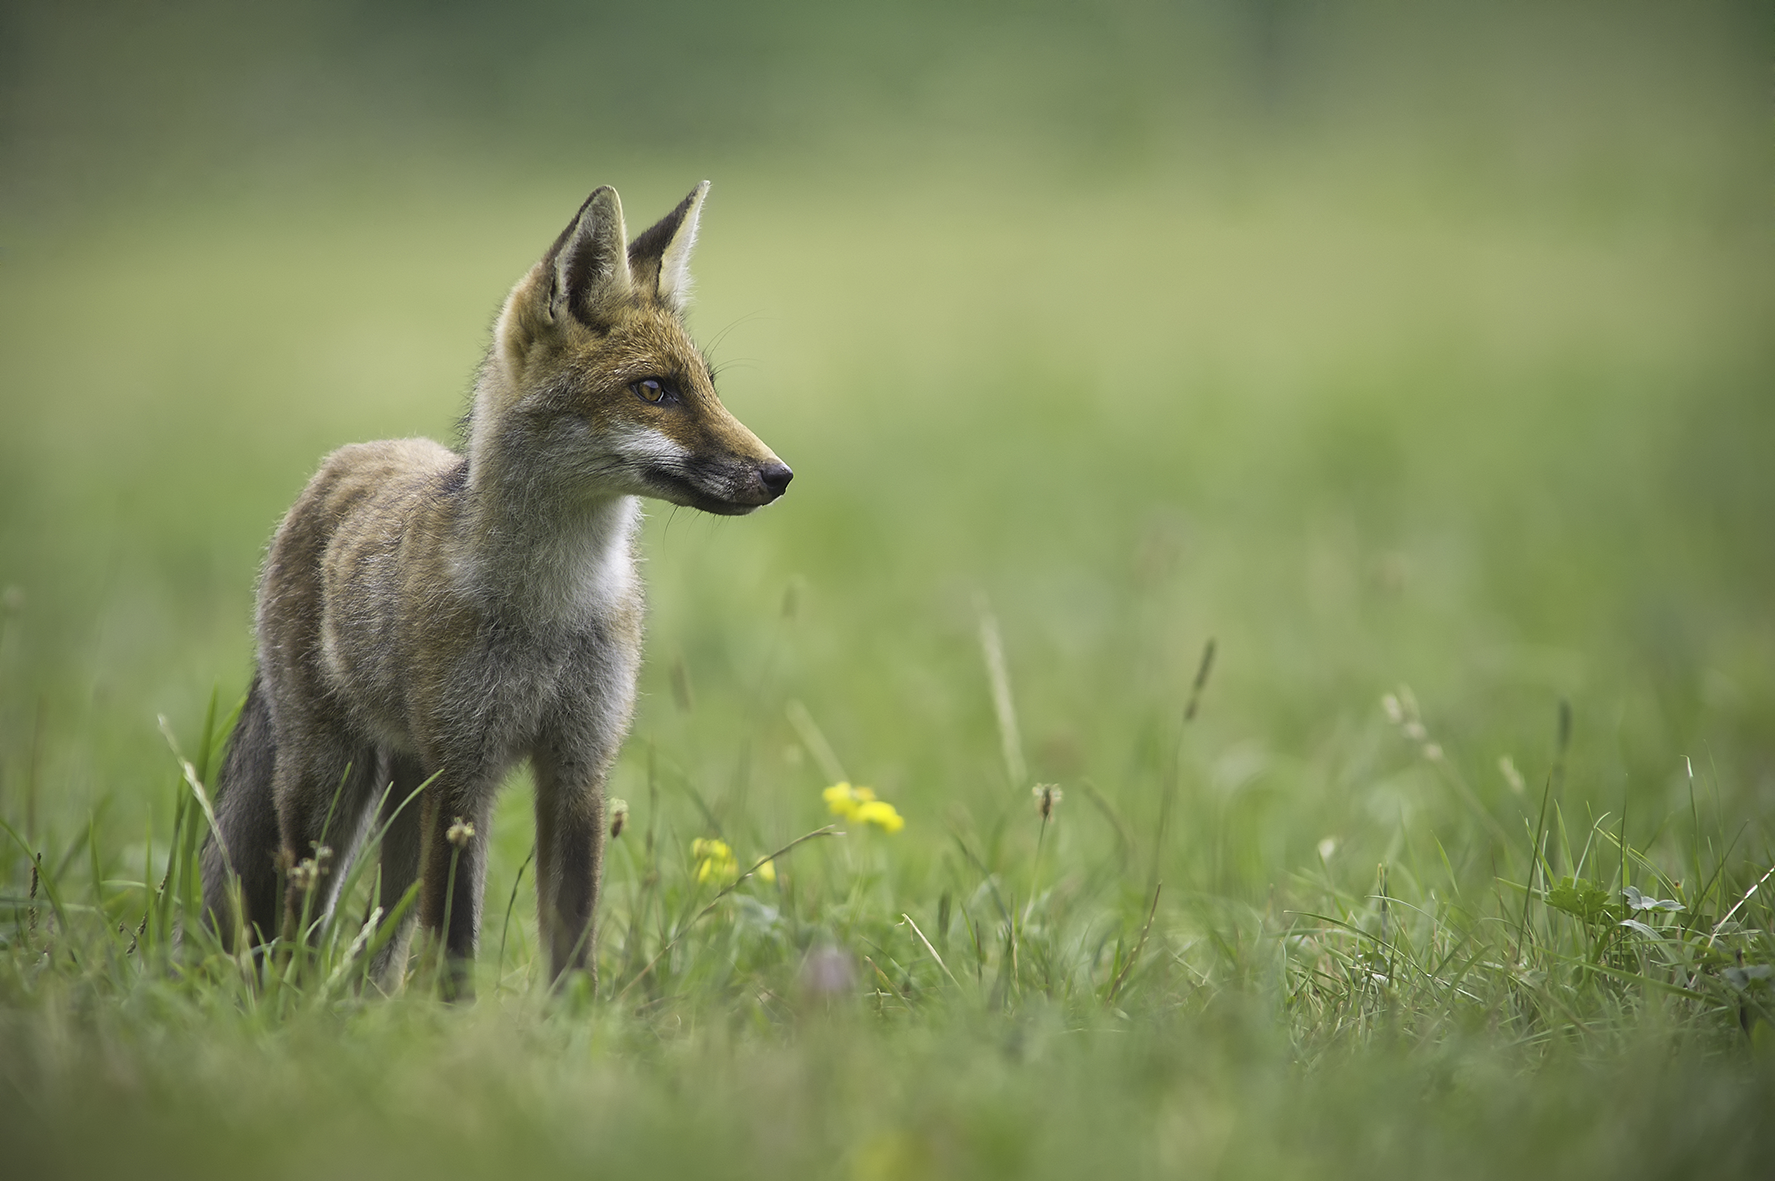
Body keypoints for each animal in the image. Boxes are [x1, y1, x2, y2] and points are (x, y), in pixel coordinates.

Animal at [199, 182, 790, 997]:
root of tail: (343, 462)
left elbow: (570, 943)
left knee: (380, 933)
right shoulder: (464, 775)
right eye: (653, 390)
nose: (780, 475)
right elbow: (454, 947)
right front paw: (450, 1026)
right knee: (302, 925)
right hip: (332, 785)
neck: (551, 608)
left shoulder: (578, 766)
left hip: (402, 792)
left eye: (706, 388)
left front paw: (572, 1024)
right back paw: (295, 1003)